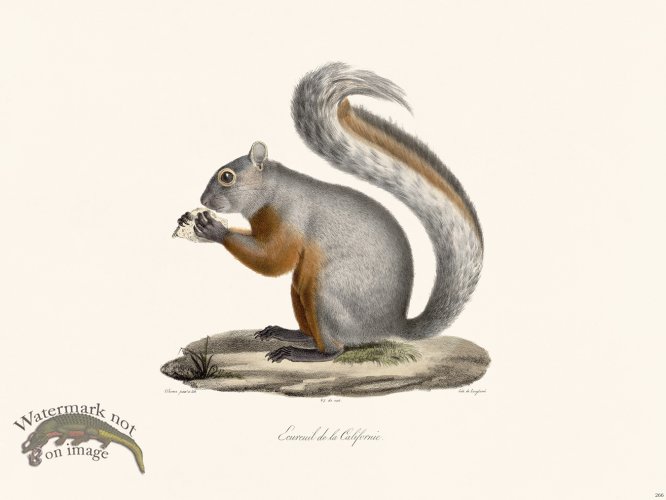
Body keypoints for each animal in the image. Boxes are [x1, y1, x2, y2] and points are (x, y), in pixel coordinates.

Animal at [178, 63, 483, 363]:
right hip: (300, 288)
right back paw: (290, 334)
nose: (203, 199)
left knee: (335, 349)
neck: (273, 191)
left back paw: (302, 353)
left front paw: (214, 229)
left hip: (326, 292)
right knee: (309, 327)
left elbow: (273, 259)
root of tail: (391, 326)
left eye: (227, 177)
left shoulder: (291, 217)